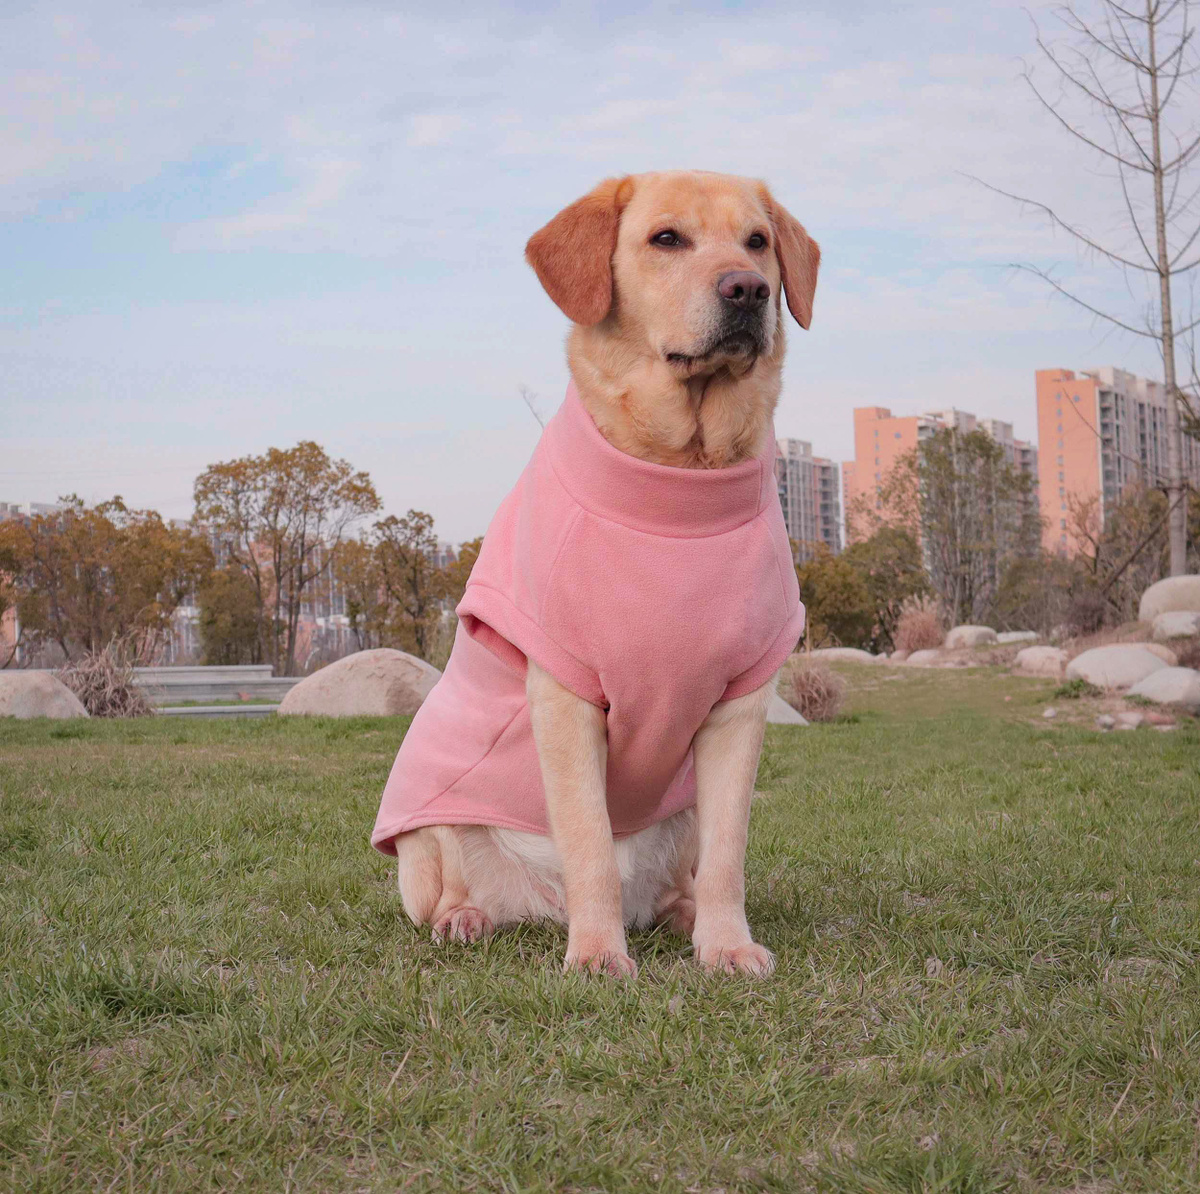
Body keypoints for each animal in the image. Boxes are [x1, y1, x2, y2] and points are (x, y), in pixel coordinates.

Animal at [384, 170, 816, 979]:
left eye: (758, 242)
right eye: (666, 238)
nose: (747, 290)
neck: (680, 481)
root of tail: (539, 910)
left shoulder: (740, 706)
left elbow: (729, 857)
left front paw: (726, 943)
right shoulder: (565, 697)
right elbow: (586, 840)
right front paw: (595, 955)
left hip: (681, 811)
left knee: (686, 874)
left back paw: (684, 918)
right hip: (426, 829)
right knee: (451, 877)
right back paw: (467, 918)